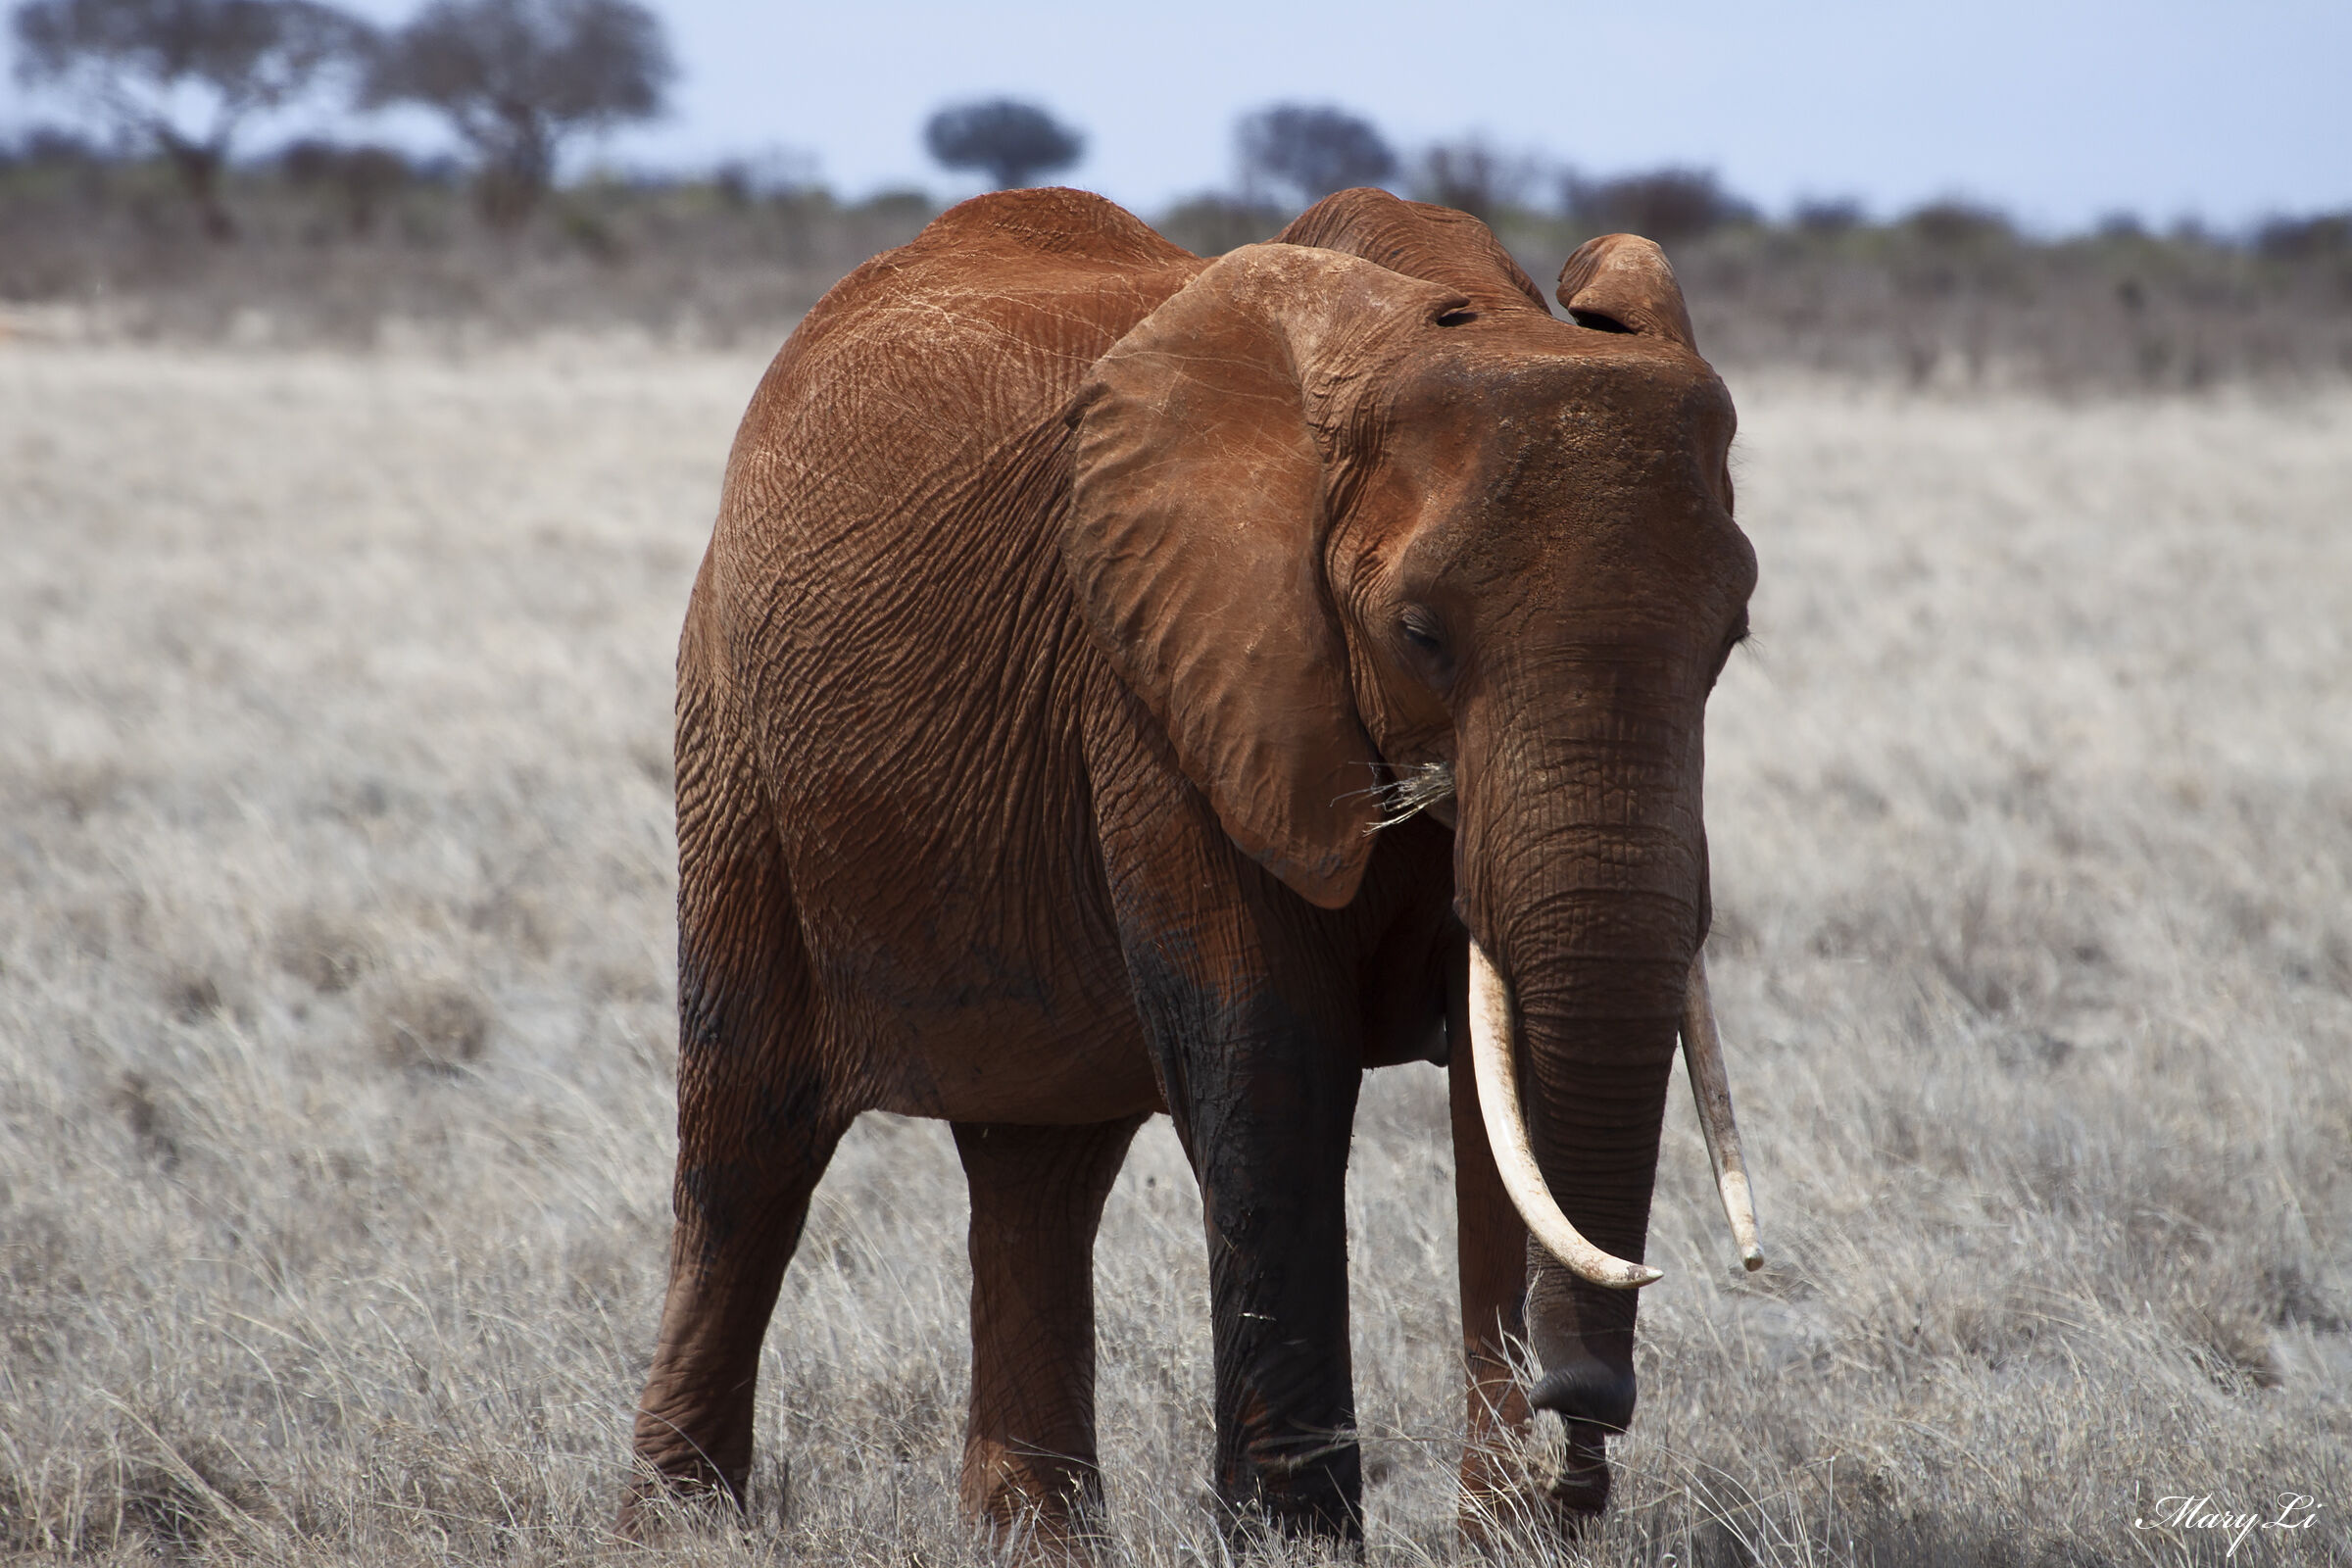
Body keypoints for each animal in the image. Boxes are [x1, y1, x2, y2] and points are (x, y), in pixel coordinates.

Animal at [621, 184, 1764, 1548]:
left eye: (1733, 635)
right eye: (1420, 634)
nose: (1577, 1406)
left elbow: (1505, 1084)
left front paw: (1507, 1536)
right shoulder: (1164, 677)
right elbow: (1268, 1051)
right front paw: (1294, 1539)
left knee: (1037, 1164)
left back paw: (1036, 1542)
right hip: (736, 744)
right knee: (747, 1141)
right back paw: (676, 1525)